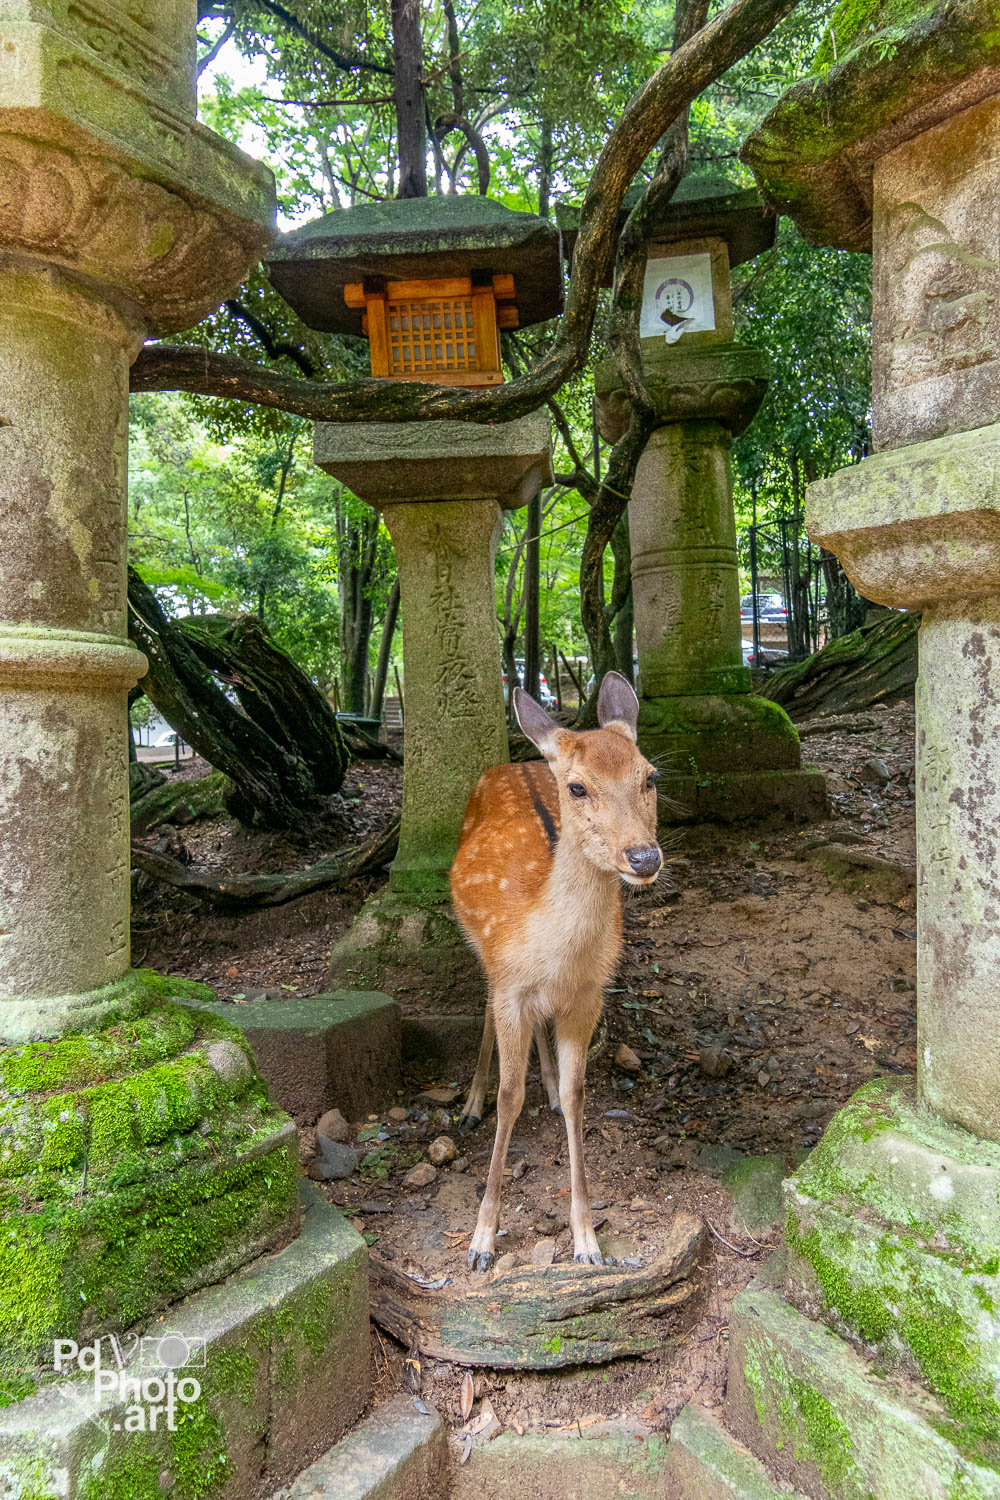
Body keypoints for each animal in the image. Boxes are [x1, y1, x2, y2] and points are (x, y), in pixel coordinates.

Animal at [450, 671, 662, 1271]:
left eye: (650, 776)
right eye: (578, 787)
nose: (643, 857)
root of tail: (518, 760)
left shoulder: (589, 995)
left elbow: (576, 1094)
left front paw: (587, 1240)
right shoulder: (510, 984)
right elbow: (509, 1097)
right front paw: (481, 1240)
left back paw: (542, 1080)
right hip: (479, 949)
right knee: (482, 1004)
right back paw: (470, 1102)